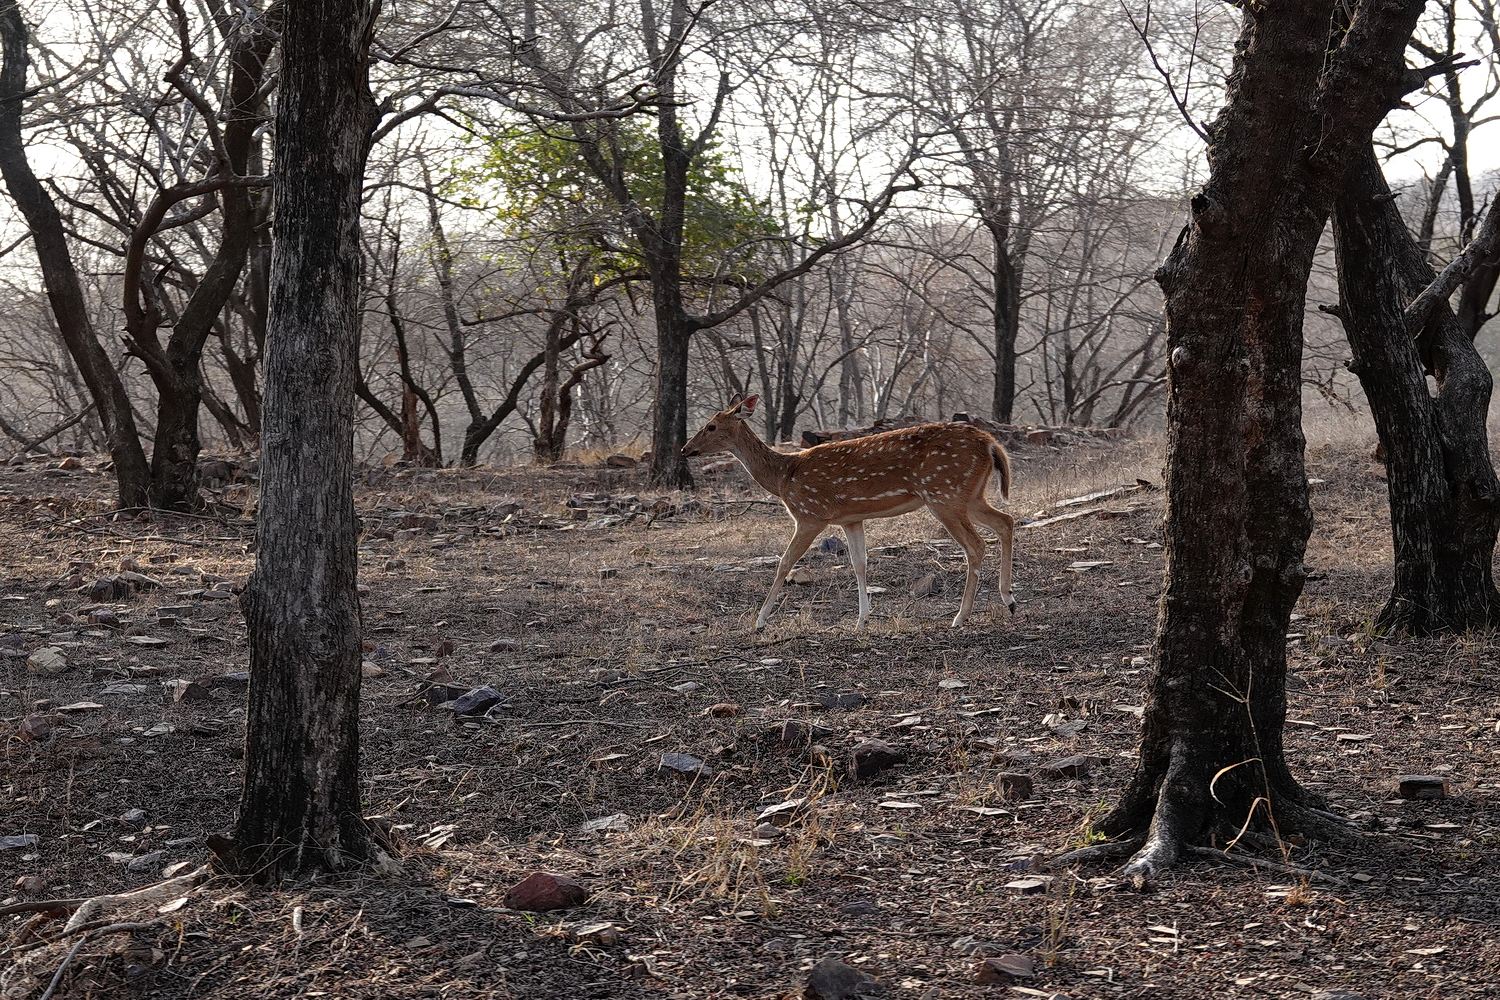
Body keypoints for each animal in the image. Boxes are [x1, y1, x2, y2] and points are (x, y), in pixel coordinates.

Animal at [684, 395, 1014, 626]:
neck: (783, 477)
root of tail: (990, 444)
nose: (686, 449)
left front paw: (760, 621)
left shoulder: (810, 514)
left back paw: (961, 615)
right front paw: (862, 619)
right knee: (1005, 521)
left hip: (944, 493)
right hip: (969, 496)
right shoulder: (851, 519)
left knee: (976, 544)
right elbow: (859, 563)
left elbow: (784, 562)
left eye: (711, 426)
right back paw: (1008, 599)